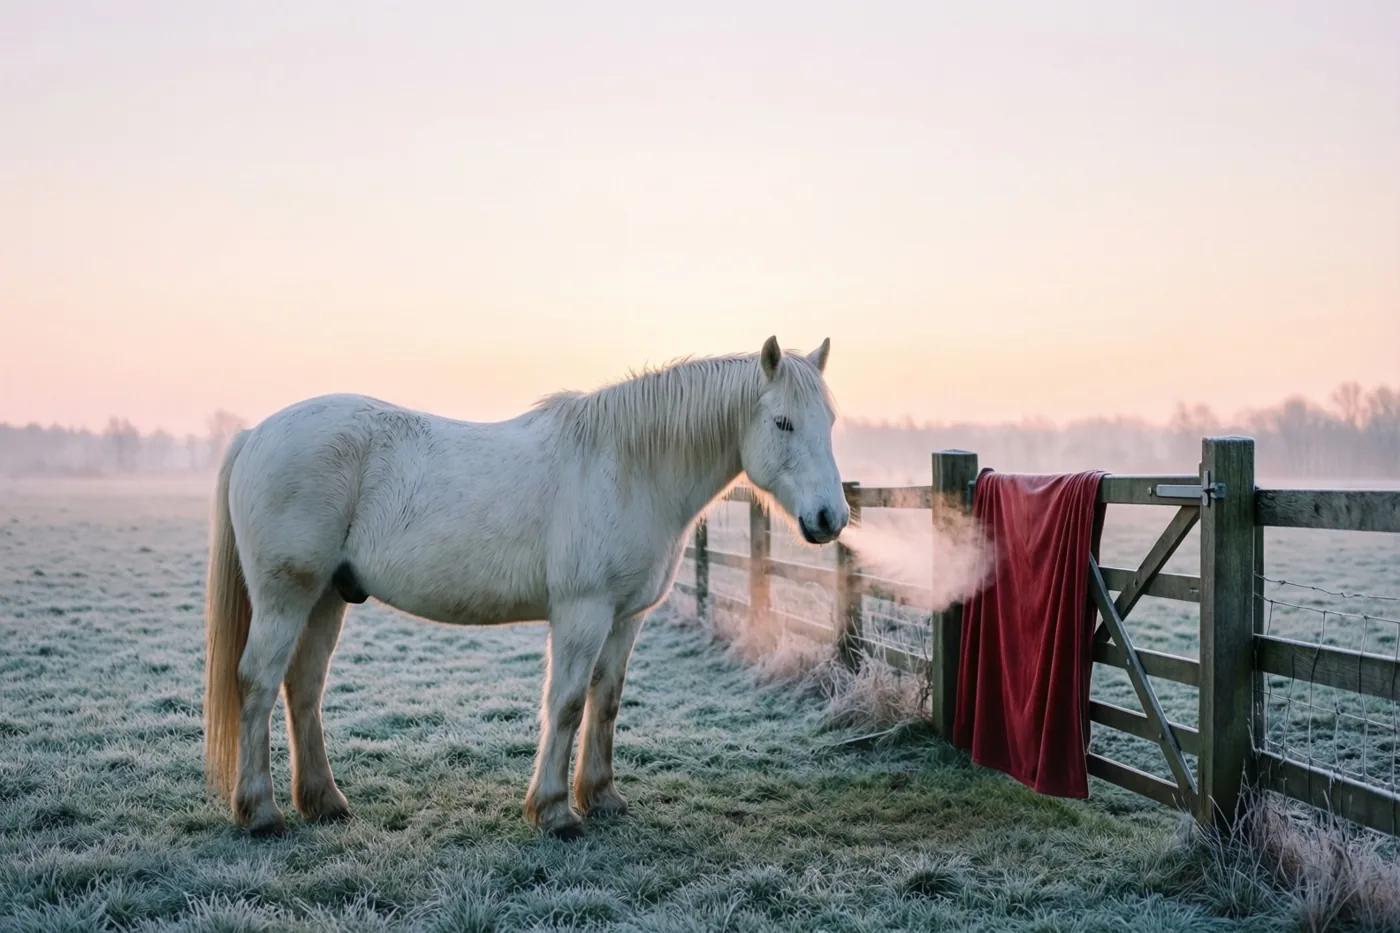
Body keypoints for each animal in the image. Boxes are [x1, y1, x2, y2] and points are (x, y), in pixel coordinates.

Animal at [202, 335, 849, 839]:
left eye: (831, 423)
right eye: (783, 422)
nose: (830, 519)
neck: (629, 468)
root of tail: (255, 434)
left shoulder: (625, 618)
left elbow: (606, 702)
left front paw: (602, 797)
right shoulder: (582, 614)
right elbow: (566, 704)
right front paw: (556, 812)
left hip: (325, 599)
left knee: (303, 688)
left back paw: (324, 803)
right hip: (287, 597)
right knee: (257, 683)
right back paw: (261, 814)